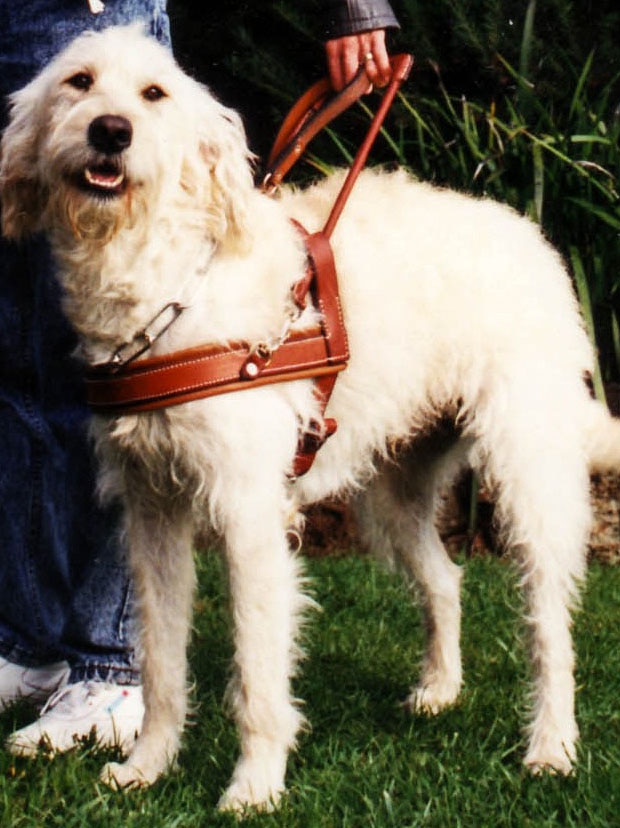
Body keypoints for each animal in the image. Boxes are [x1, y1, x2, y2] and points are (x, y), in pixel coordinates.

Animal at [1, 22, 620, 812]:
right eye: (78, 81)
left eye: (154, 93)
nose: (111, 132)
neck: (170, 283)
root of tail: (532, 237)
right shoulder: (153, 513)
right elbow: (163, 664)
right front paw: (146, 767)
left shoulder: (249, 516)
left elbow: (257, 672)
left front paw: (254, 788)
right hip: (393, 496)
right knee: (446, 578)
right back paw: (440, 691)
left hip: (528, 477)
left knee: (551, 627)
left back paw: (552, 747)